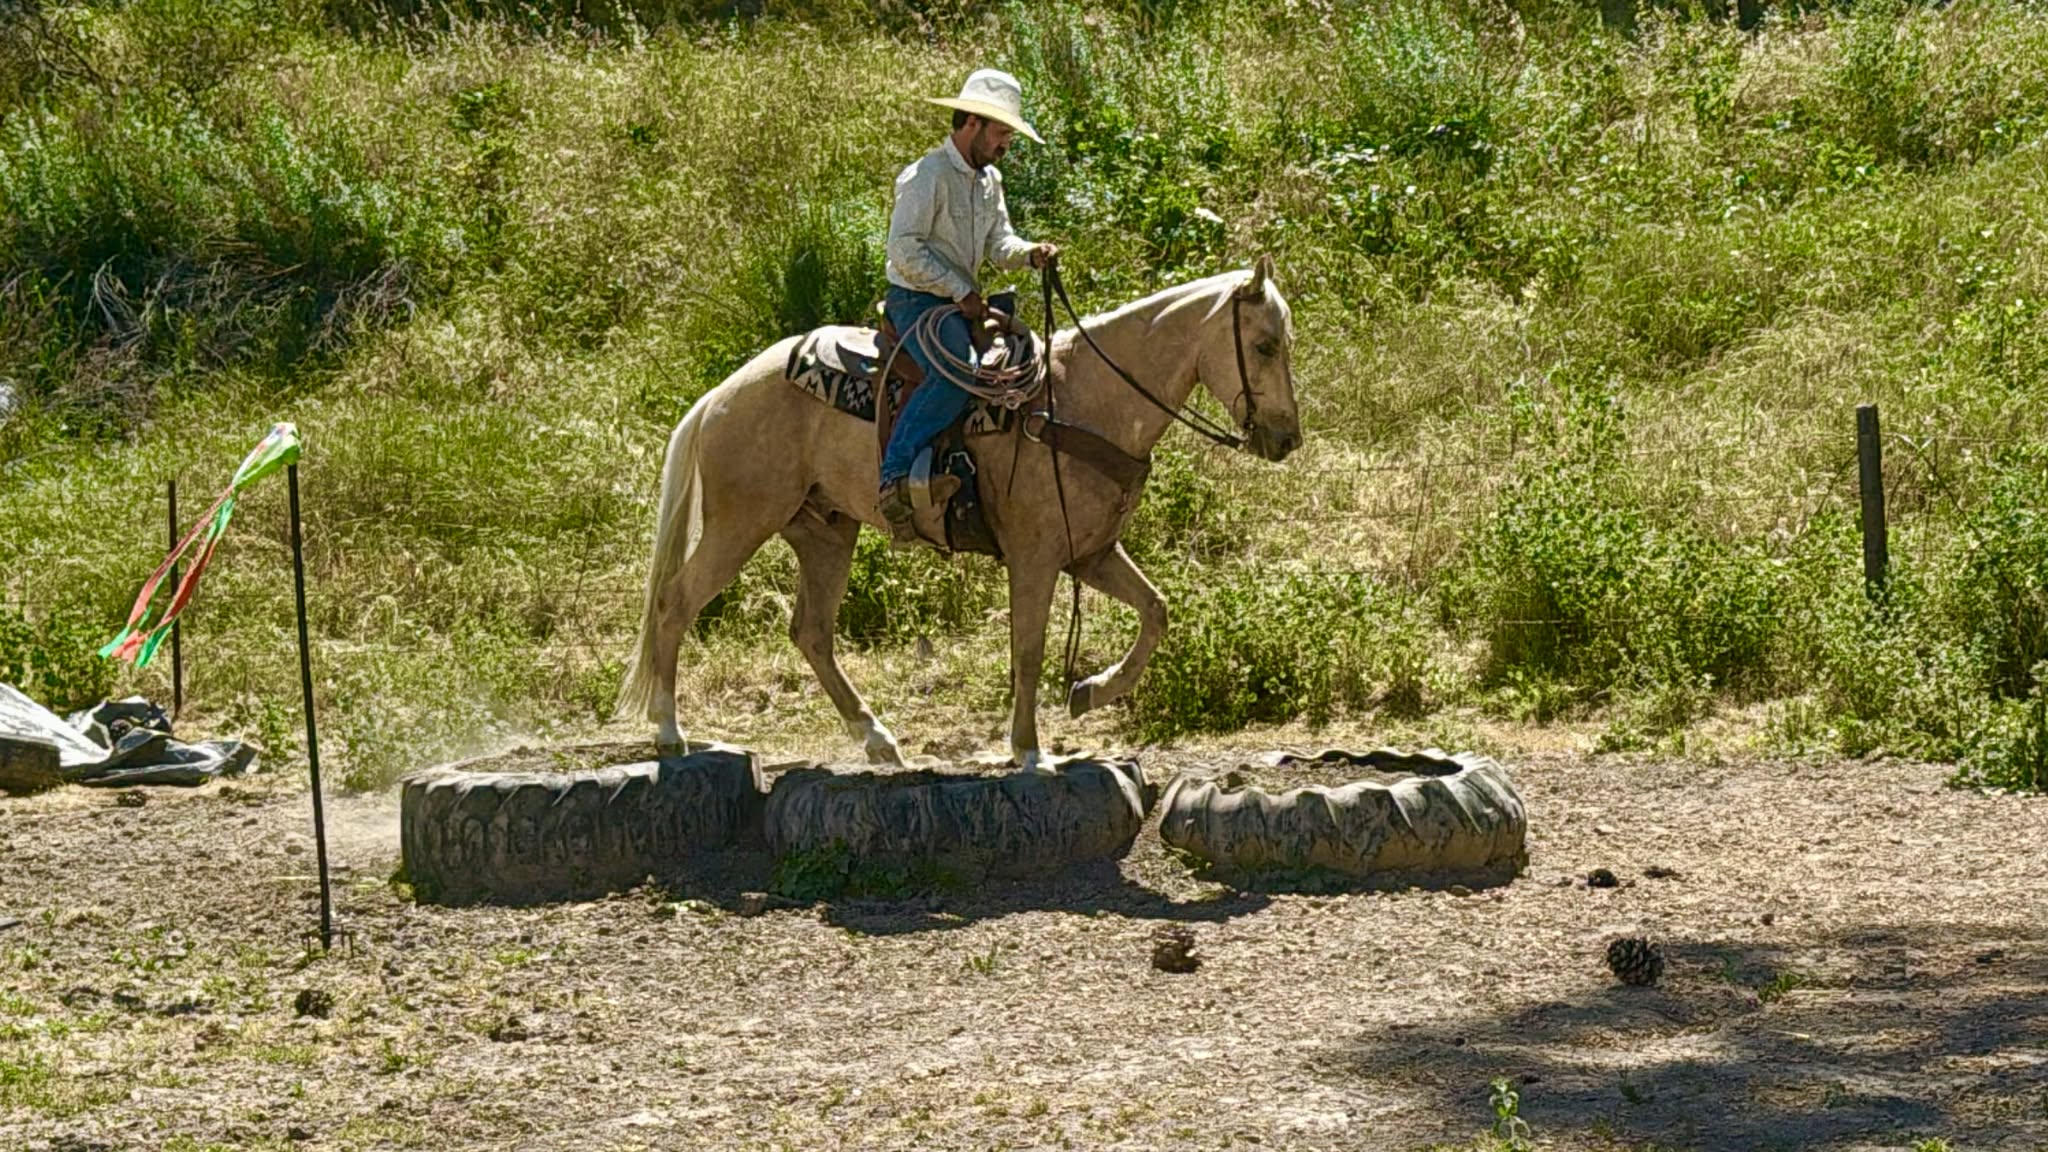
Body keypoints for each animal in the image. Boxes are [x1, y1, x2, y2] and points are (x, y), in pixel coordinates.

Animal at [617, 256, 1302, 773]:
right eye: (1264, 344)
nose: (1287, 438)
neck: (1079, 401)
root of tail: (720, 395)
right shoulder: (1035, 557)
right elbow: (1028, 647)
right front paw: (1029, 751)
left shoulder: (1092, 553)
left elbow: (1155, 611)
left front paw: (1090, 693)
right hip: (740, 523)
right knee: (675, 602)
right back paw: (670, 733)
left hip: (825, 533)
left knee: (811, 632)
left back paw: (877, 739)